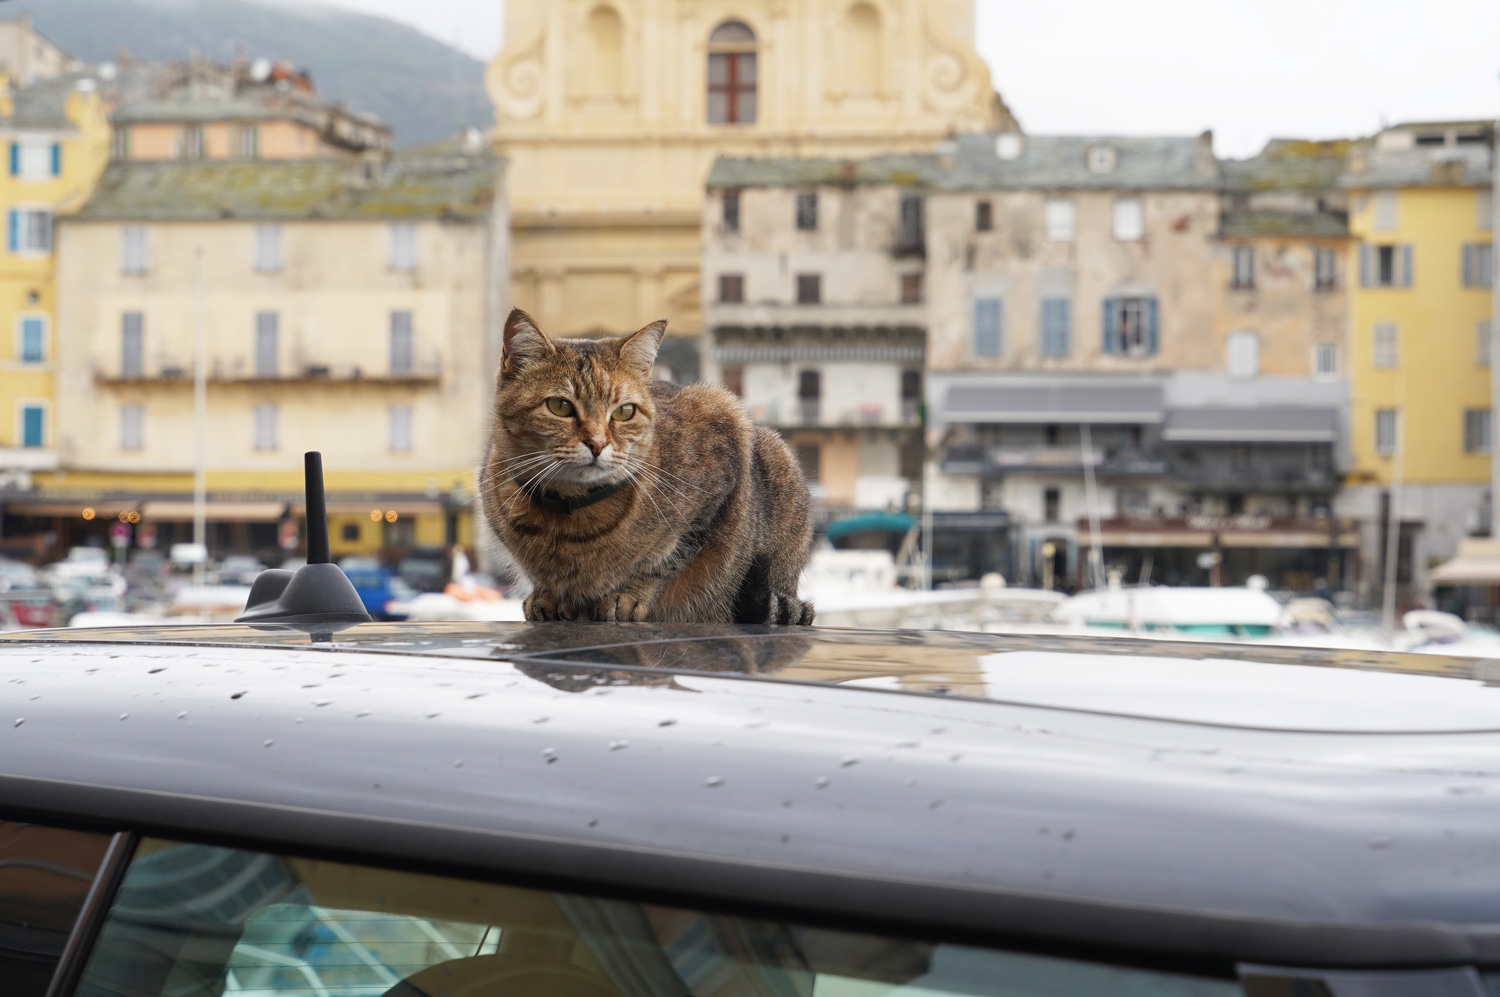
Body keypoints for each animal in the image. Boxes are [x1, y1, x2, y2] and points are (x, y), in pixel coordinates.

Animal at [480, 311, 816, 623]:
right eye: (560, 406)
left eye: (624, 412)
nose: (597, 444)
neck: (571, 518)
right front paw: (547, 594)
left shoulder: (721, 446)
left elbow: (662, 561)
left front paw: (627, 595)